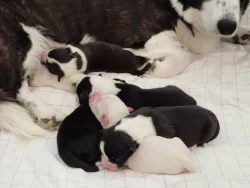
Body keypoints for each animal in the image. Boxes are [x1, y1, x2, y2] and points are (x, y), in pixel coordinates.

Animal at [0, 0, 249, 138]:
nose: (227, 26)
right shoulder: (145, 35)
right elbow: (182, 53)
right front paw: (153, 66)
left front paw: (241, 32)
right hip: (22, 35)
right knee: (18, 86)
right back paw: (46, 111)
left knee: (37, 76)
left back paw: (79, 82)